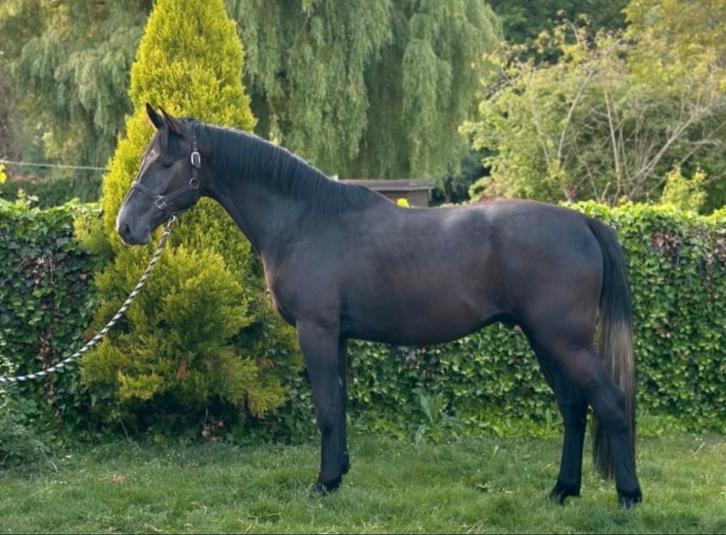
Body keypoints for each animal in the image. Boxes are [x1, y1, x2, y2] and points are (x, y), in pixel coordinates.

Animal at [116, 104, 642, 507]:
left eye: (164, 164)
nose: (126, 226)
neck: (305, 219)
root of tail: (583, 223)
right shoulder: (338, 335)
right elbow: (340, 403)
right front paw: (339, 474)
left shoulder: (317, 330)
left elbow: (327, 408)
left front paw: (323, 484)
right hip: (543, 340)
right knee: (574, 408)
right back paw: (562, 490)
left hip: (564, 341)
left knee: (610, 403)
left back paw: (628, 496)